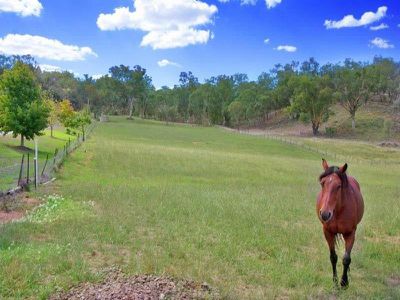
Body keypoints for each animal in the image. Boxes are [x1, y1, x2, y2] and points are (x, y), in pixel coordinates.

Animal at [318, 158, 364, 288]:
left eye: (338, 186)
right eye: (322, 183)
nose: (325, 214)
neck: (338, 210)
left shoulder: (350, 233)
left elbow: (346, 259)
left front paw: (344, 282)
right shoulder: (327, 232)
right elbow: (333, 257)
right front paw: (335, 281)